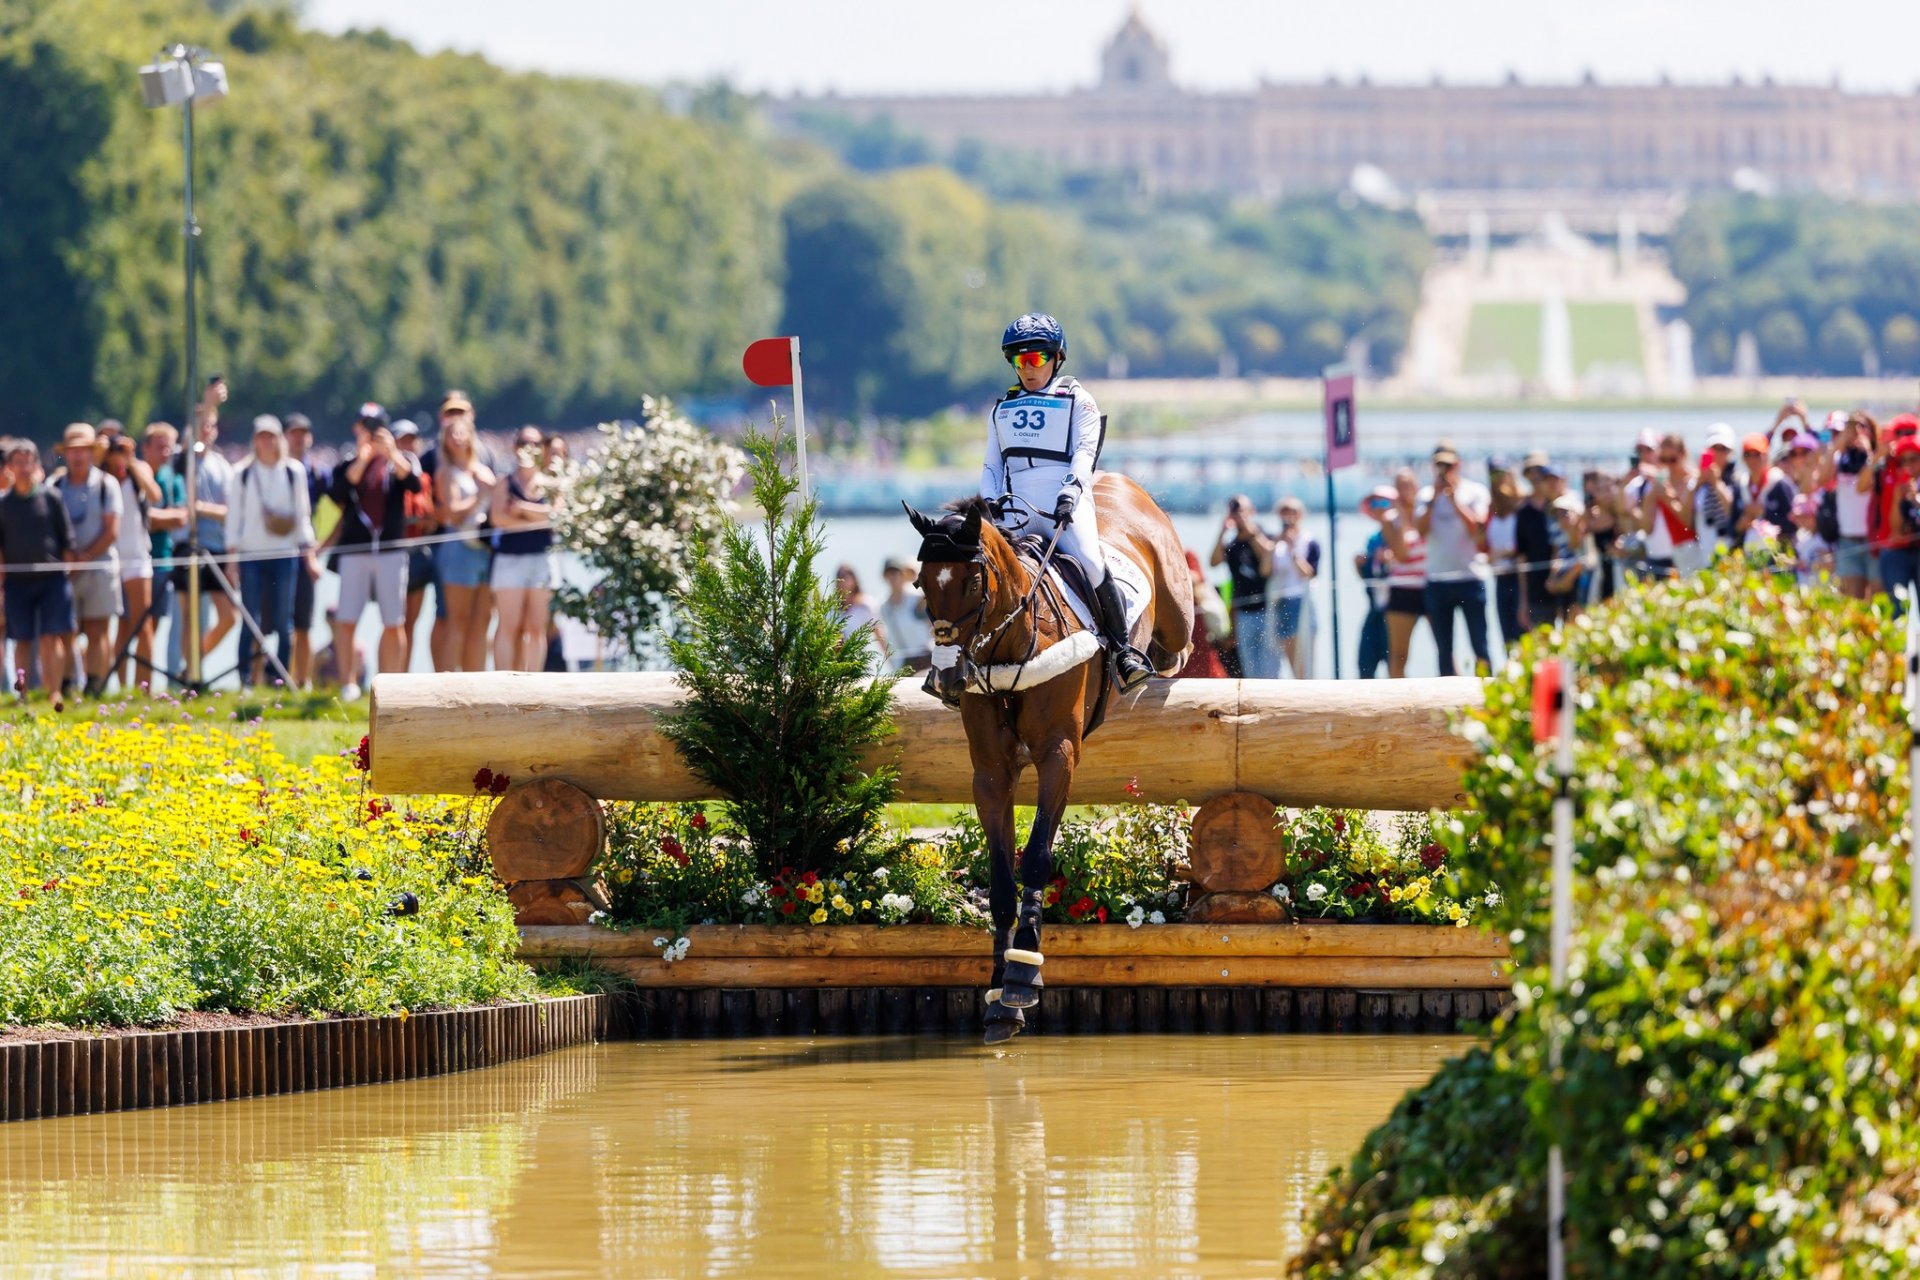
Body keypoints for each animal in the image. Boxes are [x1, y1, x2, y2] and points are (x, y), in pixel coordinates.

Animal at [898, 470, 1182, 1043]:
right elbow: (1000, 876)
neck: (1007, 648)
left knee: (1180, 642)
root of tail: (1117, 480)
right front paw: (996, 991)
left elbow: (1034, 856)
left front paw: (1022, 975)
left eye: (973, 582)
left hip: (1178, 608)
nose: (948, 677)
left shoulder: (1059, 754)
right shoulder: (990, 774)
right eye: (920, 586)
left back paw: (1145, 664)